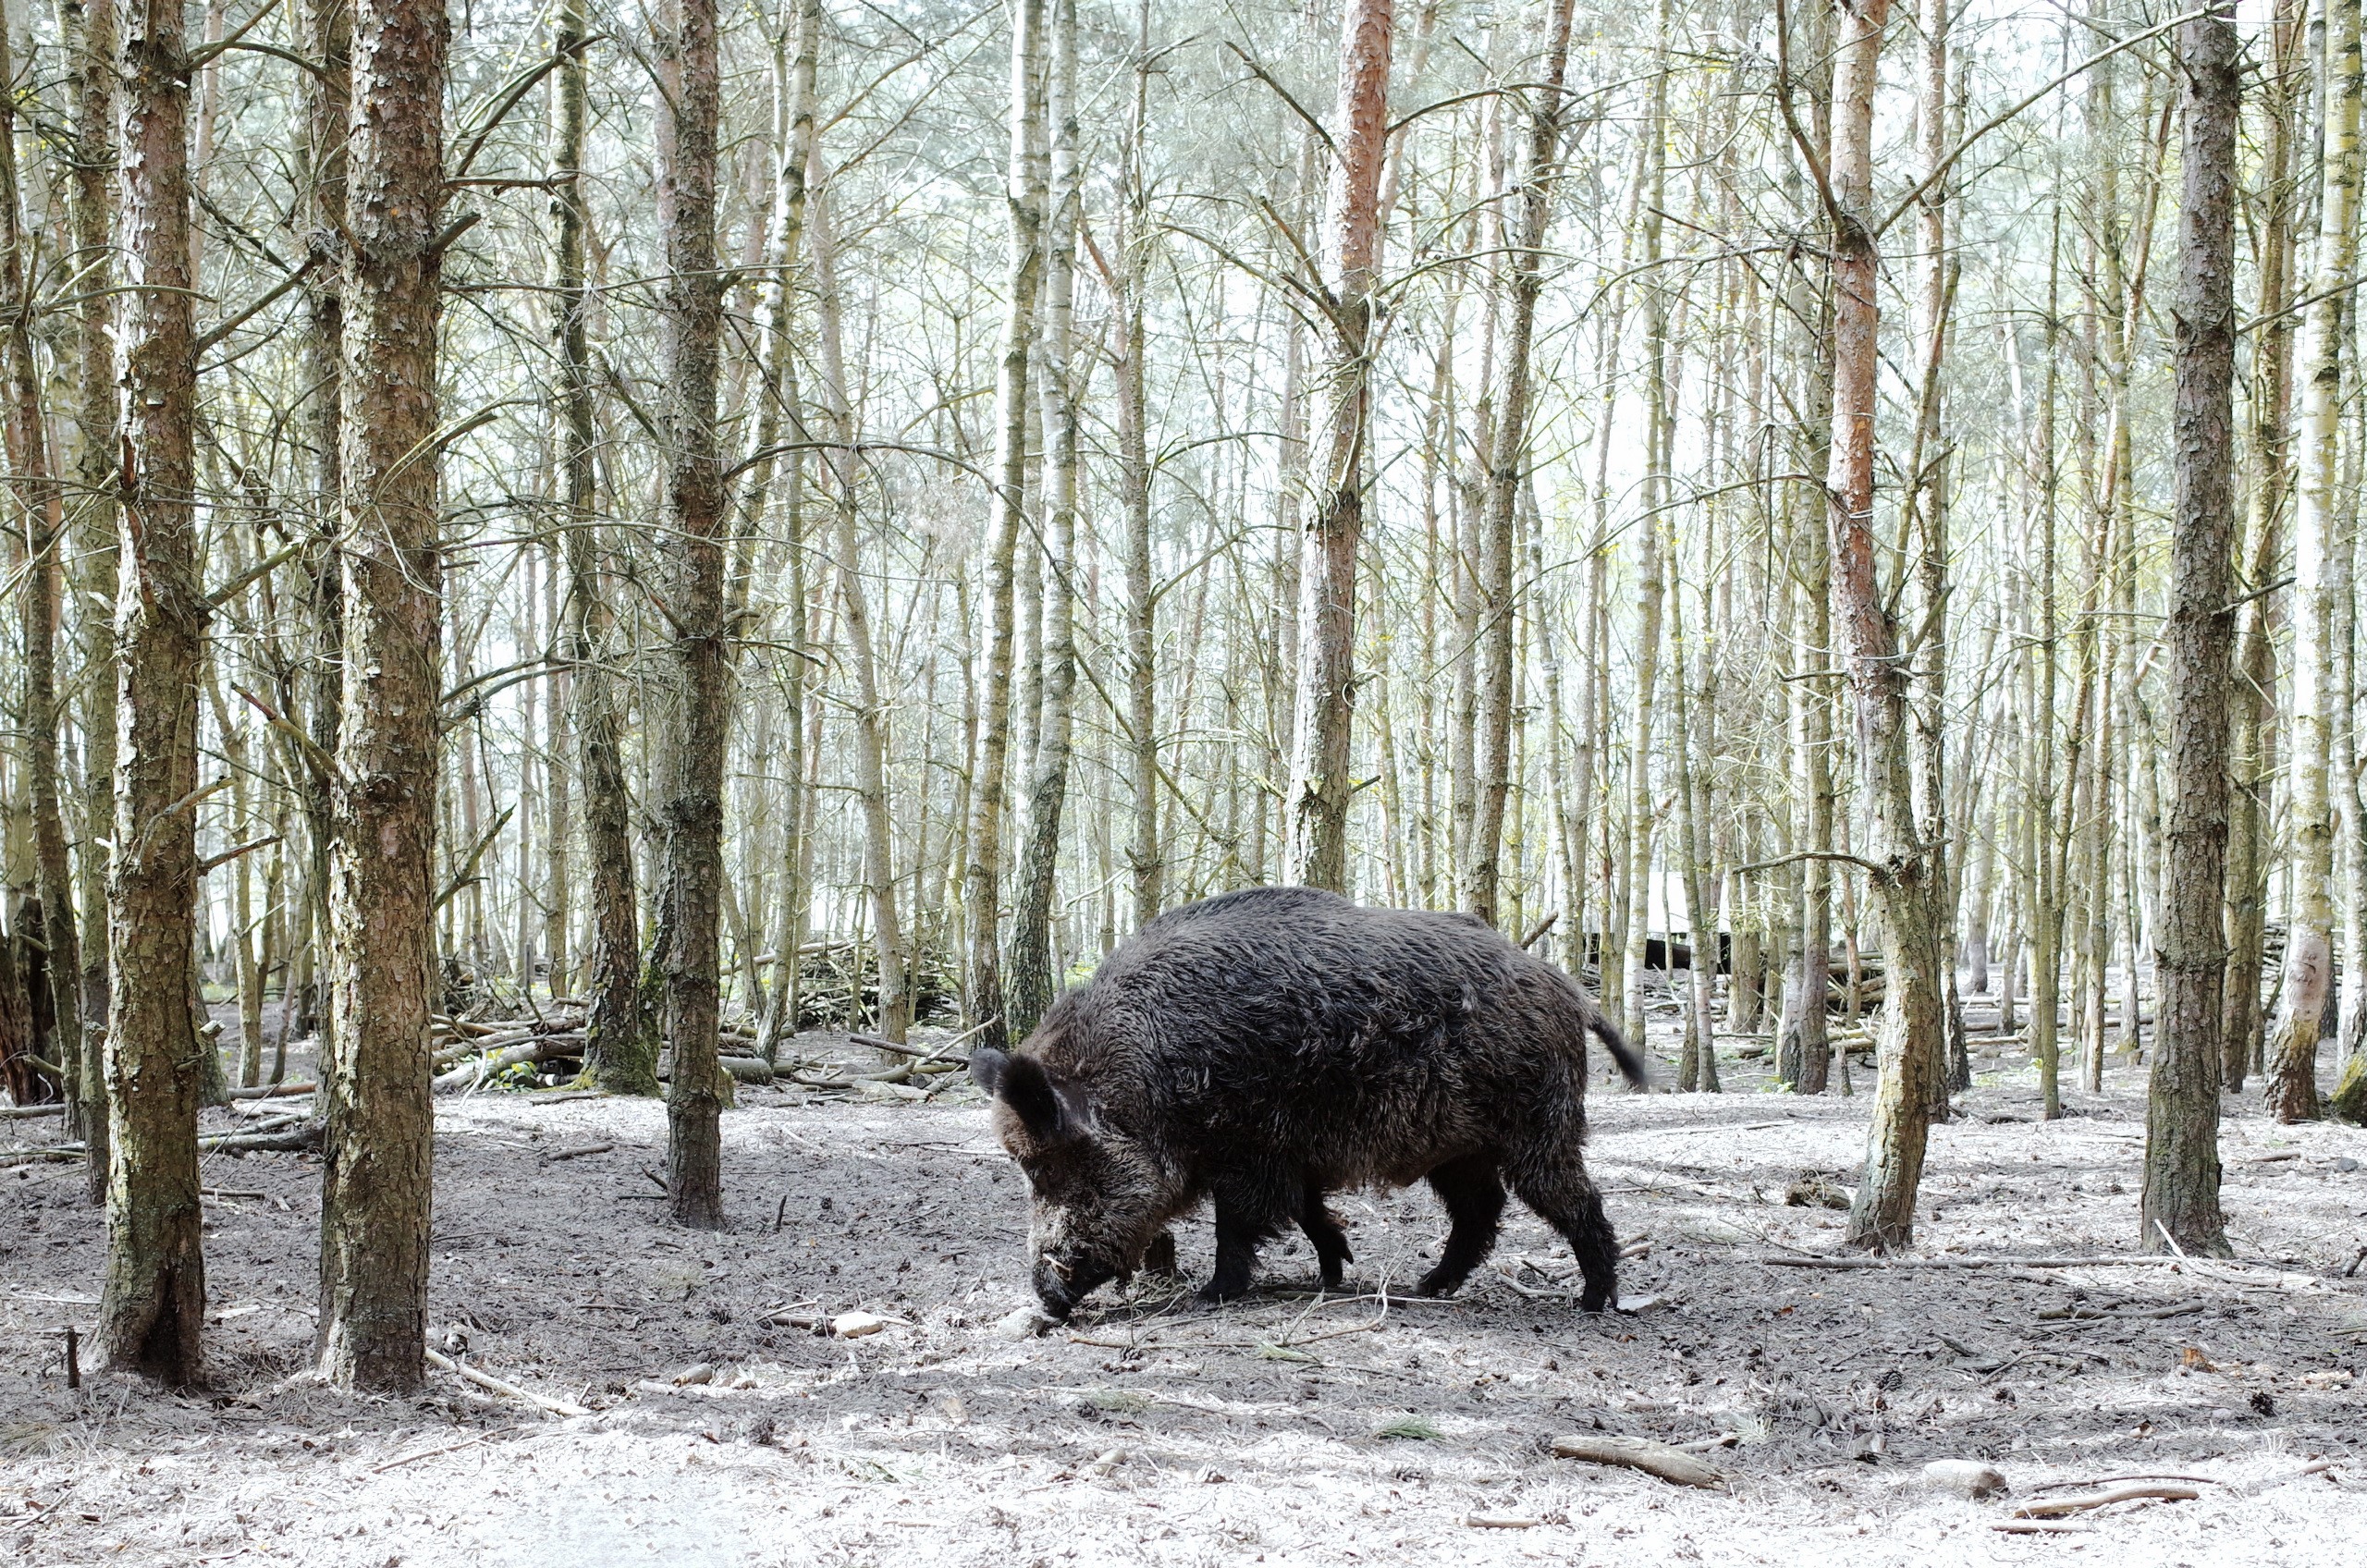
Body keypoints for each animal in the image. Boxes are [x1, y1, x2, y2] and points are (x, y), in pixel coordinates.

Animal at [970, 885, 1648, 1320]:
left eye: (1049, 1168)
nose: (1045, 1299)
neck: (1143, 1081)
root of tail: (1567, 990)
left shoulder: (1248, 1151)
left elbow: (1240, 1224)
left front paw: (1213, 1295)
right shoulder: (1290, 1157)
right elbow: (1309, 1212)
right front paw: (1332, 1273)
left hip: (1537, 1128)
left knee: (1577, 1202)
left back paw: (1595, 1302)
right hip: (1461, 1149)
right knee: (1480, 1212)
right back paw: (1427, 1286)